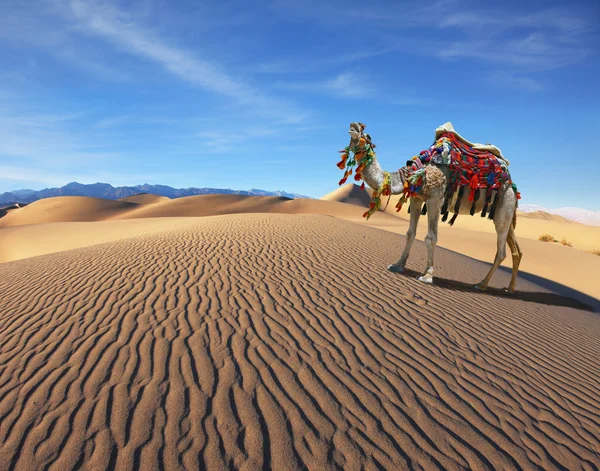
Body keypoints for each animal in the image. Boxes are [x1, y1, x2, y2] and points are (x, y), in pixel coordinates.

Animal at [344, 121, 524, 294]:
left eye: (367, 135)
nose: (353, 125)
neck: (416, 172)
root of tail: (512, 186)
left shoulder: (435, 198)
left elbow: (431, 238)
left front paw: (427, 275)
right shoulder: (416, 198)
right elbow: (410, 234)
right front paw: (398, 265)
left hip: (505, 204)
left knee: (501, 251)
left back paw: (481, 285)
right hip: (506, 213)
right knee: (516, 250)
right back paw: (509, 289)